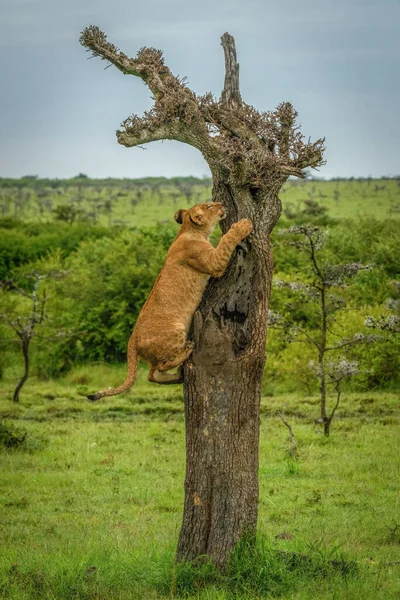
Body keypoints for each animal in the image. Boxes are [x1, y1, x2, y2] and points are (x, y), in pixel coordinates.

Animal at [86, 203, 253, 404]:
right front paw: (243, 225)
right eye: (209, 205)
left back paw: (178, 375)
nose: (221, 204)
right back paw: (187, 351)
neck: (188, 231)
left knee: (152, 374)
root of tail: (132, 339)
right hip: (176, 328)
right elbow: (226, 240)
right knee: (161, 365)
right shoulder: (213, 262)